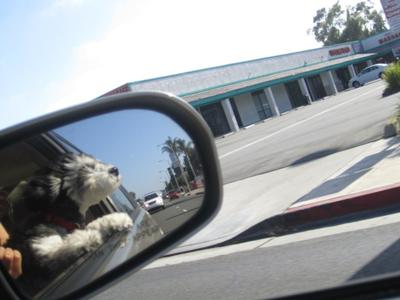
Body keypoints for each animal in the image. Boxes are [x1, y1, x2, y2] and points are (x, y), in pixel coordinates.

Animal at [2, 152, 133, 290]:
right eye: (84, 168)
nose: (115, 169)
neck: (59, 218)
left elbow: (92, 224)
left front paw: (117, 219)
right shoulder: (46, 257)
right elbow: (76, 241)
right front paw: (92, 236)